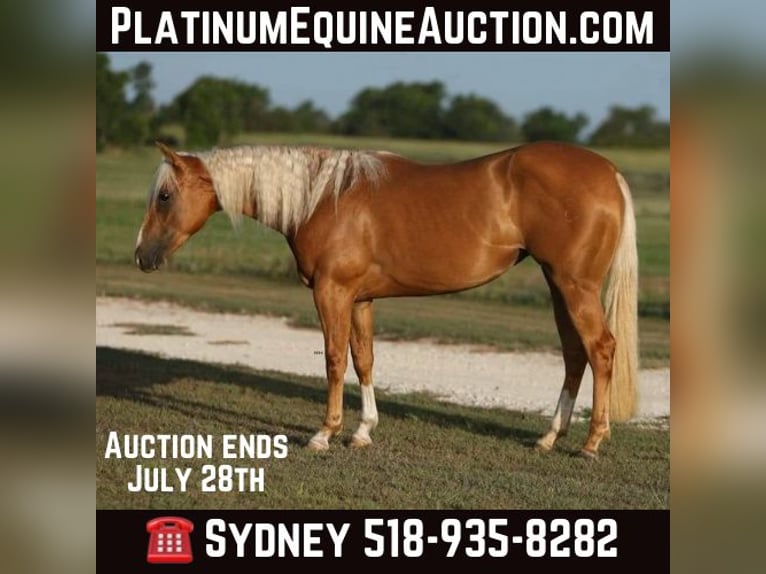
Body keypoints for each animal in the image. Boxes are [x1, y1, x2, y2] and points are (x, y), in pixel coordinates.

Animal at [135, 140, 638, 458]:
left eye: (164, 196)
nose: (142, 255)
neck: (324, 197)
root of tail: (610, 173)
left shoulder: (332, 293)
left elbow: (334, 359)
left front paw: (324, 433)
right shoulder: (359, 299)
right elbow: (364, 359)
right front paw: (362, 432)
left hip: (574, 285)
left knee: (601, 349)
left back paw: (591, 443)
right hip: (559, 284)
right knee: (575, 354)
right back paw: (549, 437)